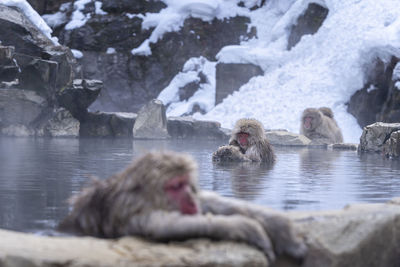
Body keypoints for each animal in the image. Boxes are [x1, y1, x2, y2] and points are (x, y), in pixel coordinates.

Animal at [57, 151, 306, 264]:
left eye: (186, 183)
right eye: (175, 186)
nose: (189, 197)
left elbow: (210, 202)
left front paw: (280, 226)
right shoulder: (135, 214)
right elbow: (166, 228)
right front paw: (248, 228)